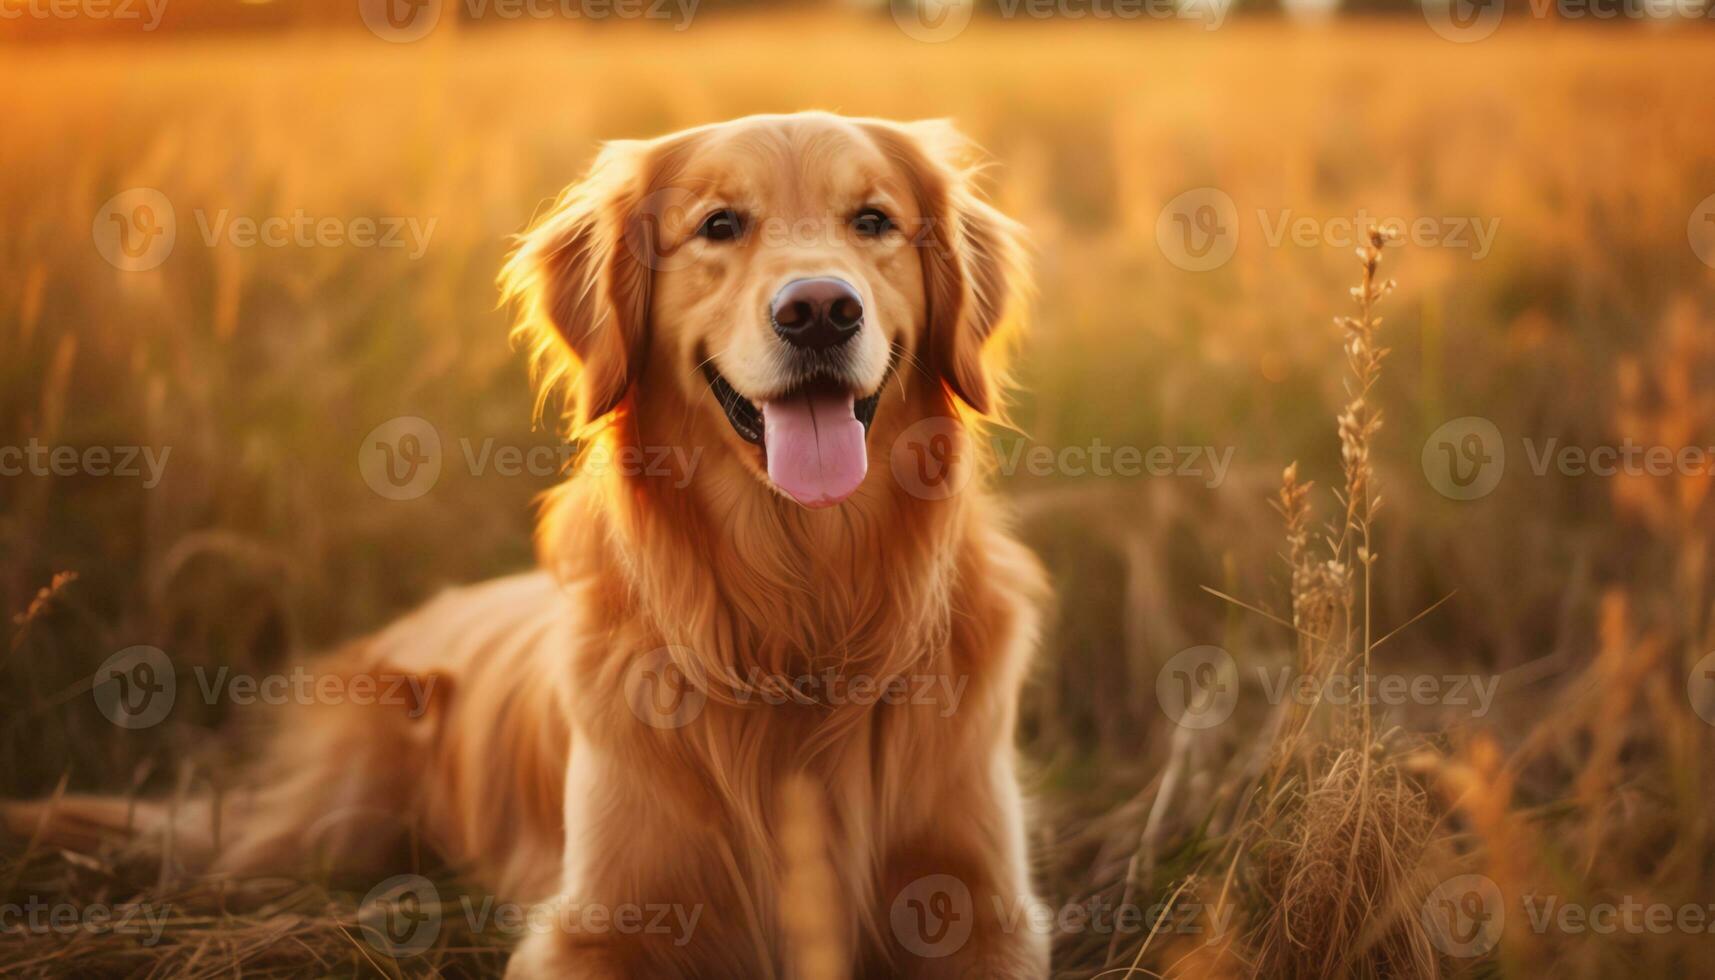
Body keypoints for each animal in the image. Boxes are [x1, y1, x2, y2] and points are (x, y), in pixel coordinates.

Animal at [6, 114, 1049, 980]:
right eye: (718, 225)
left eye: (872, 220)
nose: (820, 310)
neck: (803, 615)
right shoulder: (599, 923)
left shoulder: (980, 908)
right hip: (329, 827)